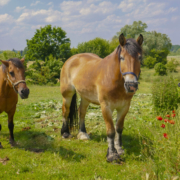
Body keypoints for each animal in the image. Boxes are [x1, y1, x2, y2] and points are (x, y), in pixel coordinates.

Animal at [60, 33, 143, 162]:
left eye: (139, 57)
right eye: (122, 58)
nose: (131, 85)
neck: (113, 79)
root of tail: (71, 59)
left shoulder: (124, 107)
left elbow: (119, 128)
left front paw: (119, 149)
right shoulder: (106, 107)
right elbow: (111, 131)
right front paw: (112, 155)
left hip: (85, 97)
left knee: (81, 112)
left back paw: (83, 134)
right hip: (67, 94)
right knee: (66, 111)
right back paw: (65, 133)